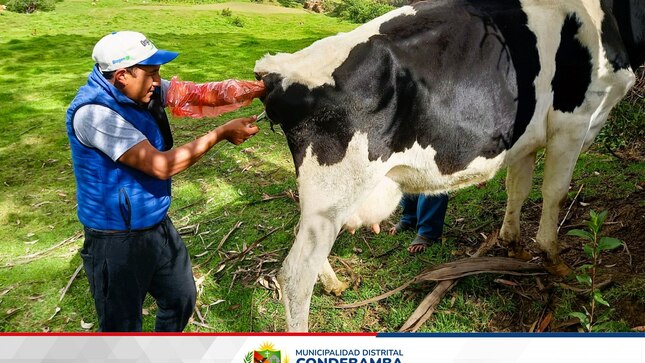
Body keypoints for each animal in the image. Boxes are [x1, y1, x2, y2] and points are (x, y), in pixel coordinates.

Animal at [254, 0, 640, 332]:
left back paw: (335, 284)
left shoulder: (526, 138)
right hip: (336, 189)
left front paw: (512, 243)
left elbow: (518, 188)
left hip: (322, 197)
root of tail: (281, 70)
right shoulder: (572, 121)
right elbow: (555, 192)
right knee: (295, 277)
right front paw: (552, 258)